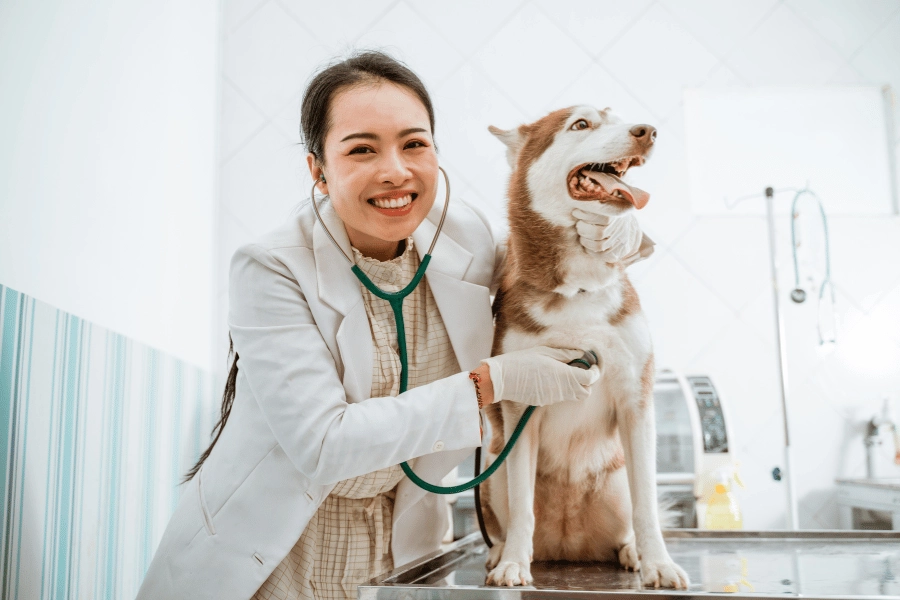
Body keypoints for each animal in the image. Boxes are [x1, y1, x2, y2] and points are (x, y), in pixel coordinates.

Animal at [486, 105, 688, 588]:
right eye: (581, 124)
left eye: (618, 117)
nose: (648, 131)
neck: (580, 289)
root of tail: (569, 545)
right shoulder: (520, 407)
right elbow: (521, 509)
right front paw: (513, 563)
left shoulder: (636, 400)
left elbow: (648, 506)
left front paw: (659, 563)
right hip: (493, 469)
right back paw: (502, 551)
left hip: (615, 478)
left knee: (630, 517)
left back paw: (631, 551)